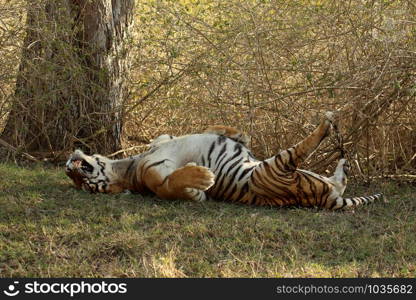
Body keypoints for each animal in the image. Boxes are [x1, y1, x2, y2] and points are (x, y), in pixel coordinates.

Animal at [66, 111, 384, 210]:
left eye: (80, 181)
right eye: (86, 187)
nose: (69, 168)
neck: (130, 164)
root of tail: (323, 199)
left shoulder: (164, 136)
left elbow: (216, 129)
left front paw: (236, 133)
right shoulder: (157, 181)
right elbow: (174, 184)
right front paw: (203, 177)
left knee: (340, 181)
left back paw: (343, 161)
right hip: (276, 167)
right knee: (301, 149)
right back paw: (327, 124)